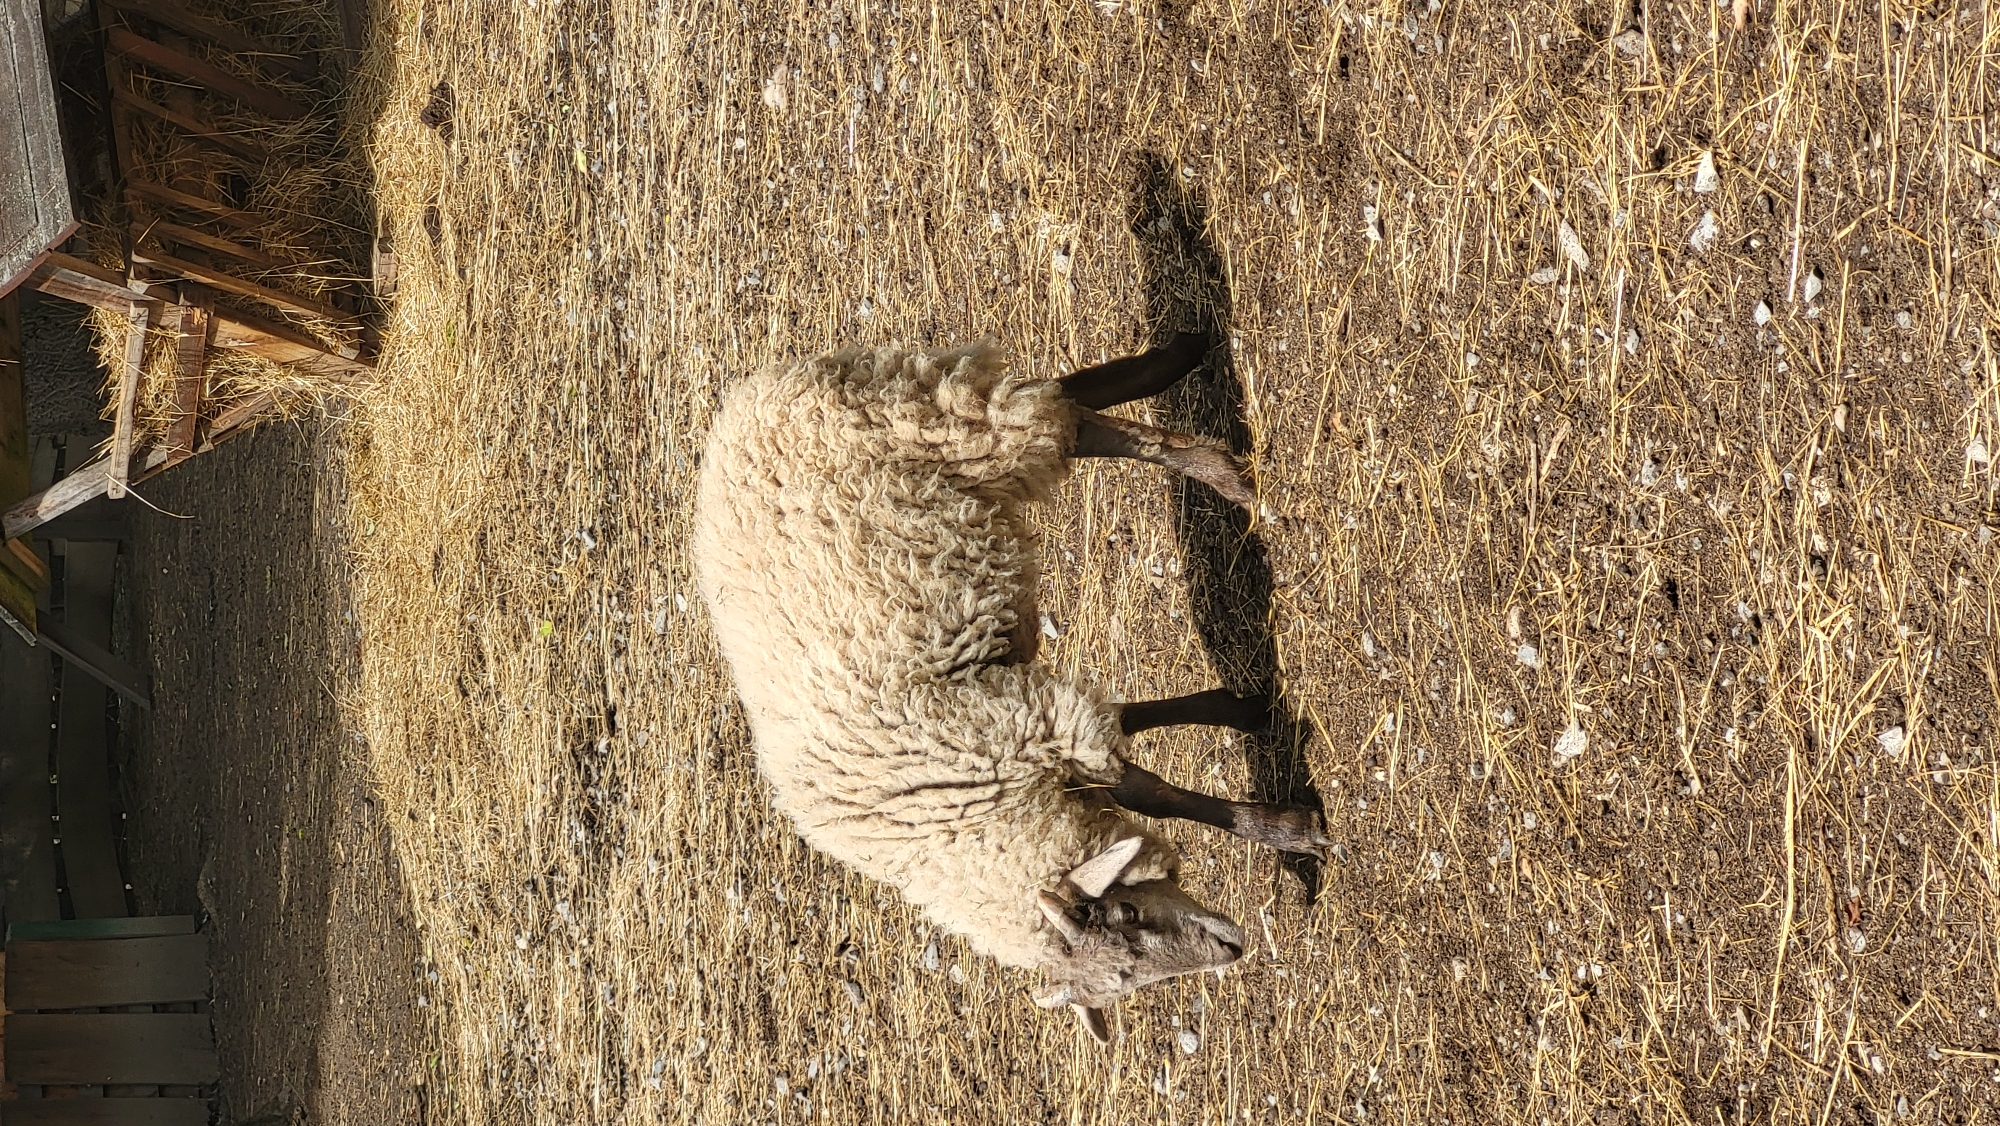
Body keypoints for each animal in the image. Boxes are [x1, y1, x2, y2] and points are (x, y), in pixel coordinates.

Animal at [692, 335, 1330, 1041]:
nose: (1231, 948)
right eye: (1132, 975)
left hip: (950, 424)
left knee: (1065, 419)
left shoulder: (1016, 722)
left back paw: (1221, 468)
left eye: (1127, 916)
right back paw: (1177, 369)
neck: (957, 829)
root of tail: (754, 395)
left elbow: (1147, 791)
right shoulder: (1020, 715)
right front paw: (1241, 715)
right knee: (1064, 398)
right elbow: (1132, 758)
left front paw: (1289, 827)